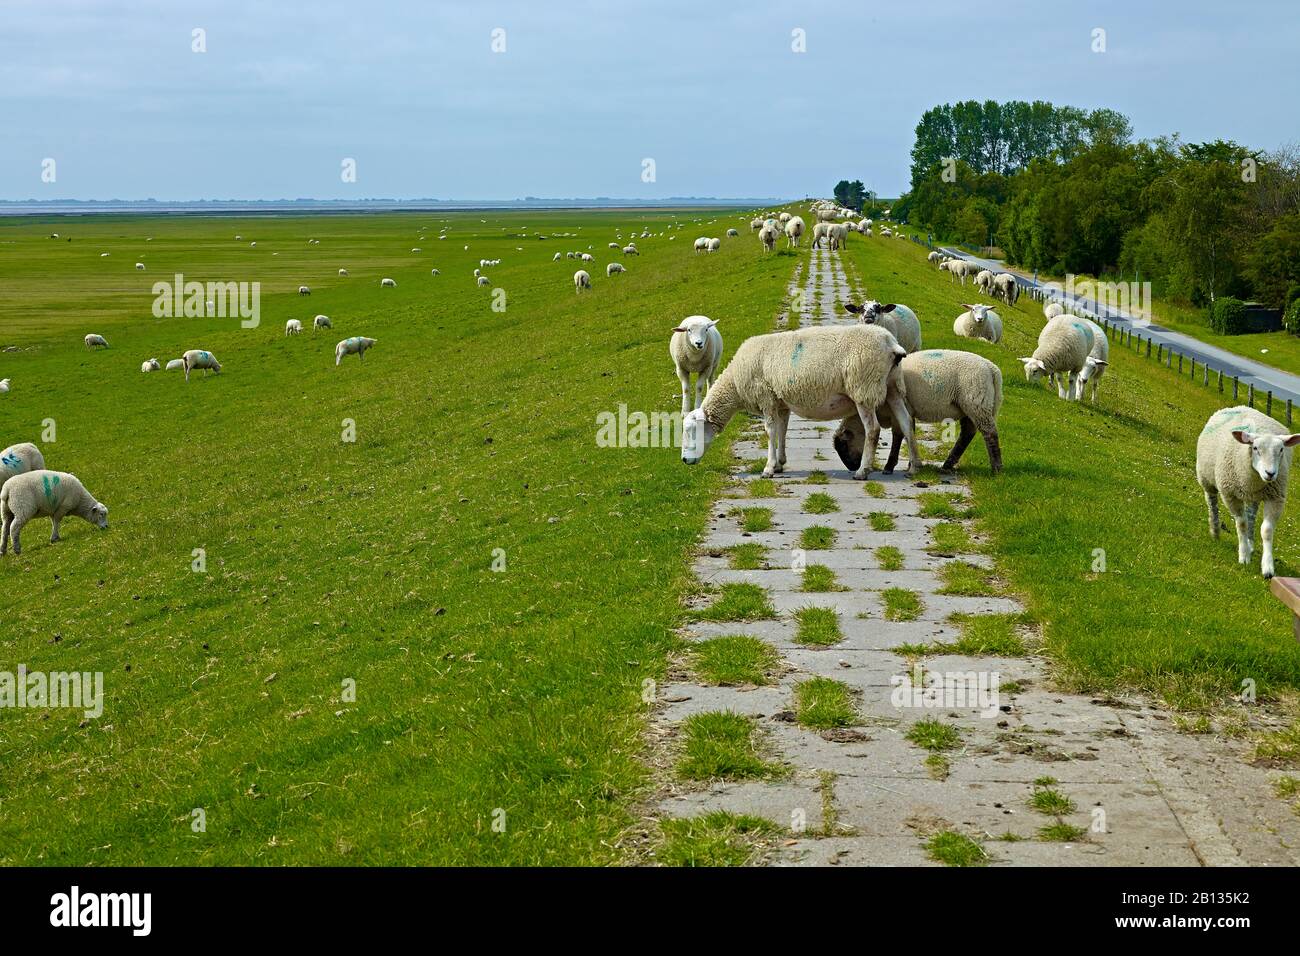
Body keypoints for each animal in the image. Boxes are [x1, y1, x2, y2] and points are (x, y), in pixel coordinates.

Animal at [681, 325, 915, 481]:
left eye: (692, 431)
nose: (684, 460)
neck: (735, 384)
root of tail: (891, 344)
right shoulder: (780, 402)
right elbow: (782, 431)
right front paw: (780, 463)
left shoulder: (765, 397)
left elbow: (770, 432)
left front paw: (768, 469)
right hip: (894, 387)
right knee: (906, 424)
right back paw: (914, 467)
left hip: (863, 388)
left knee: (873, 429)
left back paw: (862, 471)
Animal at [832, 348, 1003, 476]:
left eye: (843, 446)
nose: (853, 468)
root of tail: (992, 369)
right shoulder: (908, 410)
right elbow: (910, 432)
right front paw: (910, 464)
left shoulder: (897, 410)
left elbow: (899, 436)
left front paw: (890, 467)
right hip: (972, 406)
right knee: (968, 433)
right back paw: (947, 465)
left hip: (976, 403)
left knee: (989, 433)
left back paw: (997, 469)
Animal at [1196, 403, 1300, 574]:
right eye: (1255, 448)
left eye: (1281, 450)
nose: (1270, 473)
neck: (1253, 481)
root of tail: (1240, 406)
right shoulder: (1230, 495)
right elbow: (1242, 524)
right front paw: (1244, 556)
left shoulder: (1276, 497)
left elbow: (1266, 530)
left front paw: (1267, 567)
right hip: (1206, 478)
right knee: (1212, 501)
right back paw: (1215, 531)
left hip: (1256, 496)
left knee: (1251, 514)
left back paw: (1250, 543)